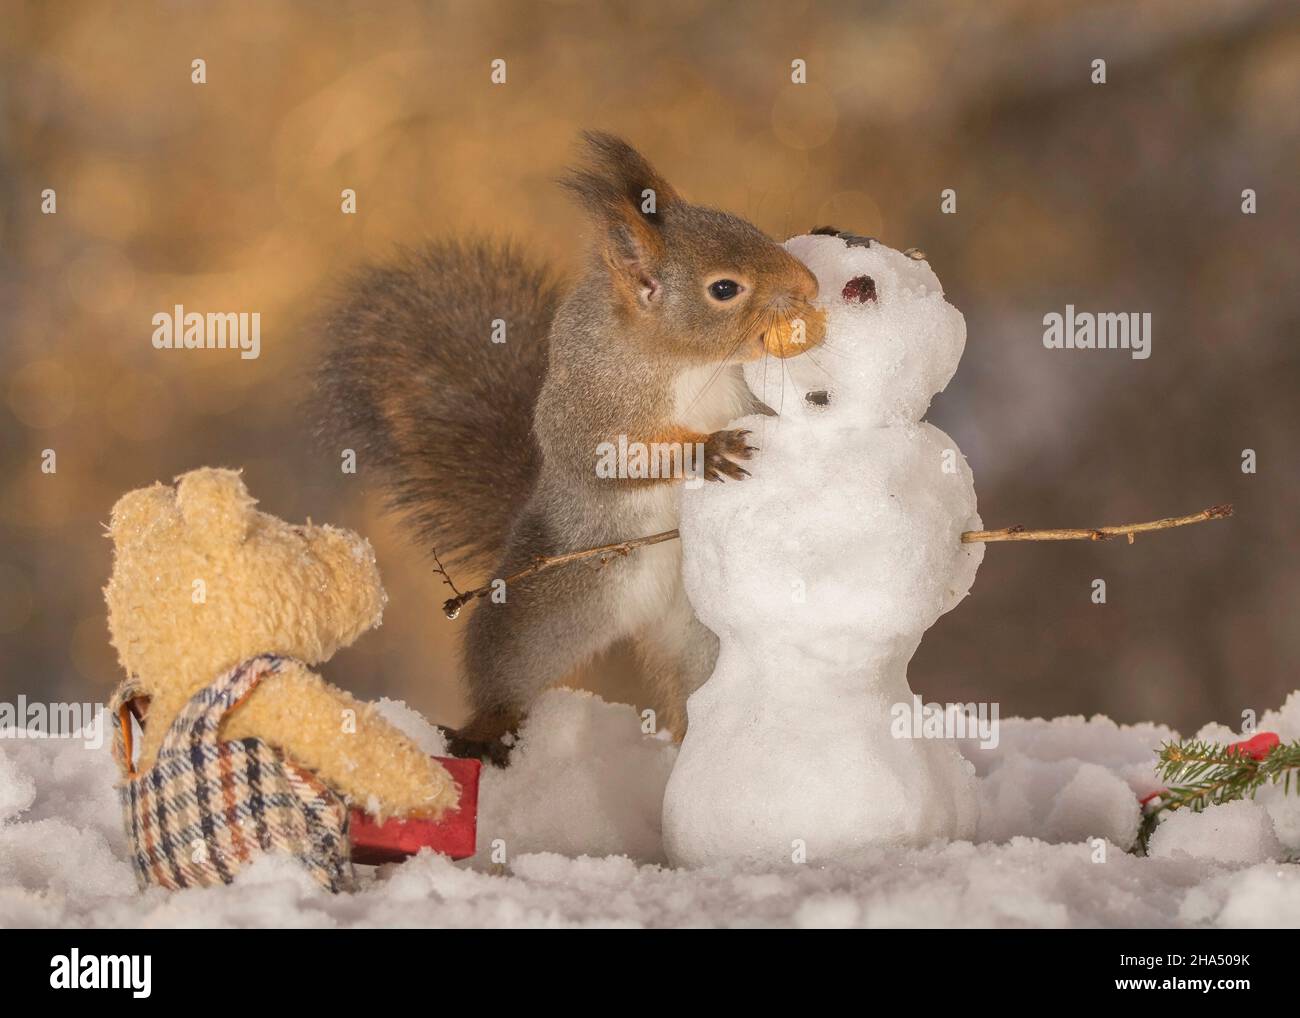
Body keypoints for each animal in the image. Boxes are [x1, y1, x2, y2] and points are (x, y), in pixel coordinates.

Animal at [317, 131, 821, 759]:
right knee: (505, 671)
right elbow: (606, 459)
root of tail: (644, 619)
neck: (683, 361)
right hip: (550, 604)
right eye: (724, 289)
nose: (810, 286)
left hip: (697, 635)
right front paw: (707, 452)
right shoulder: (588, 407)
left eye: (749, 225)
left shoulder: (742, 393)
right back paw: (484, 729)